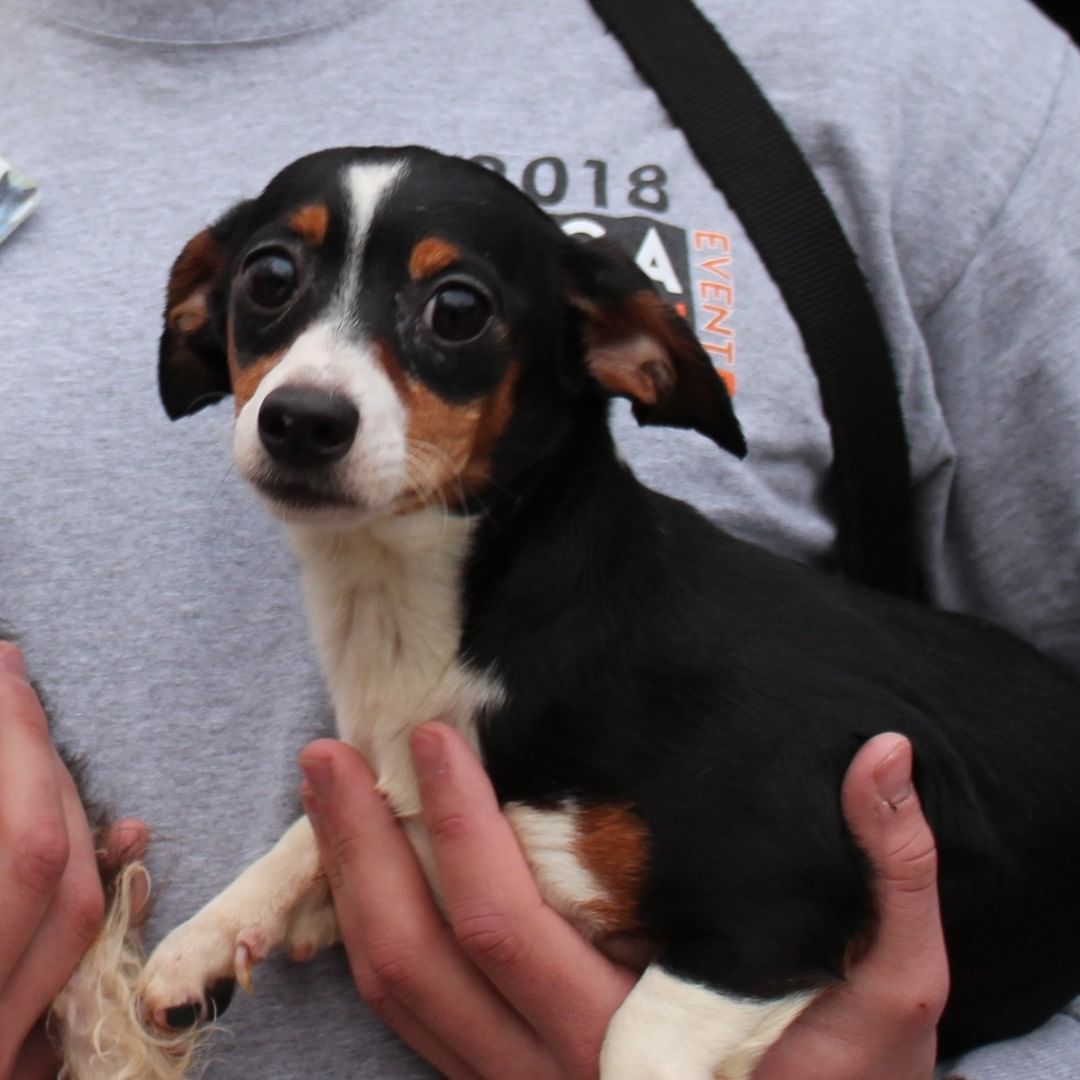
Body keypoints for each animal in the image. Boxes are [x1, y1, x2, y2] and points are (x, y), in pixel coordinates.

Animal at [139, 145, 1080, 1080]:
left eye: (458, 309)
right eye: (268, 276)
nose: (301, 420)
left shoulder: (768, 915)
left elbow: (634, 1041)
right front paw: (213, 932)